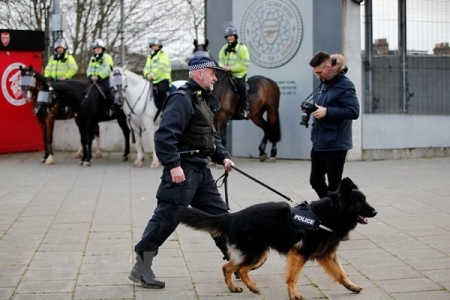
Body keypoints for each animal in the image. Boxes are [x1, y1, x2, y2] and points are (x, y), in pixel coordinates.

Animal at [176, 177, 376, 298]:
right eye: (360, 202)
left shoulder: (327, 255)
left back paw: (245, 287)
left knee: (235, 268)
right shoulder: (300, 253)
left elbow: (341, 273)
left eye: (365, 200)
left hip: (259, 254)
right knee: (232, 267)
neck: (329, 214)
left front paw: (352, 286)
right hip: (255, 253)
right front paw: (293, 294)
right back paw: (241, 287)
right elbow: (293, 277)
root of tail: (232, 216)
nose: (375, 212)